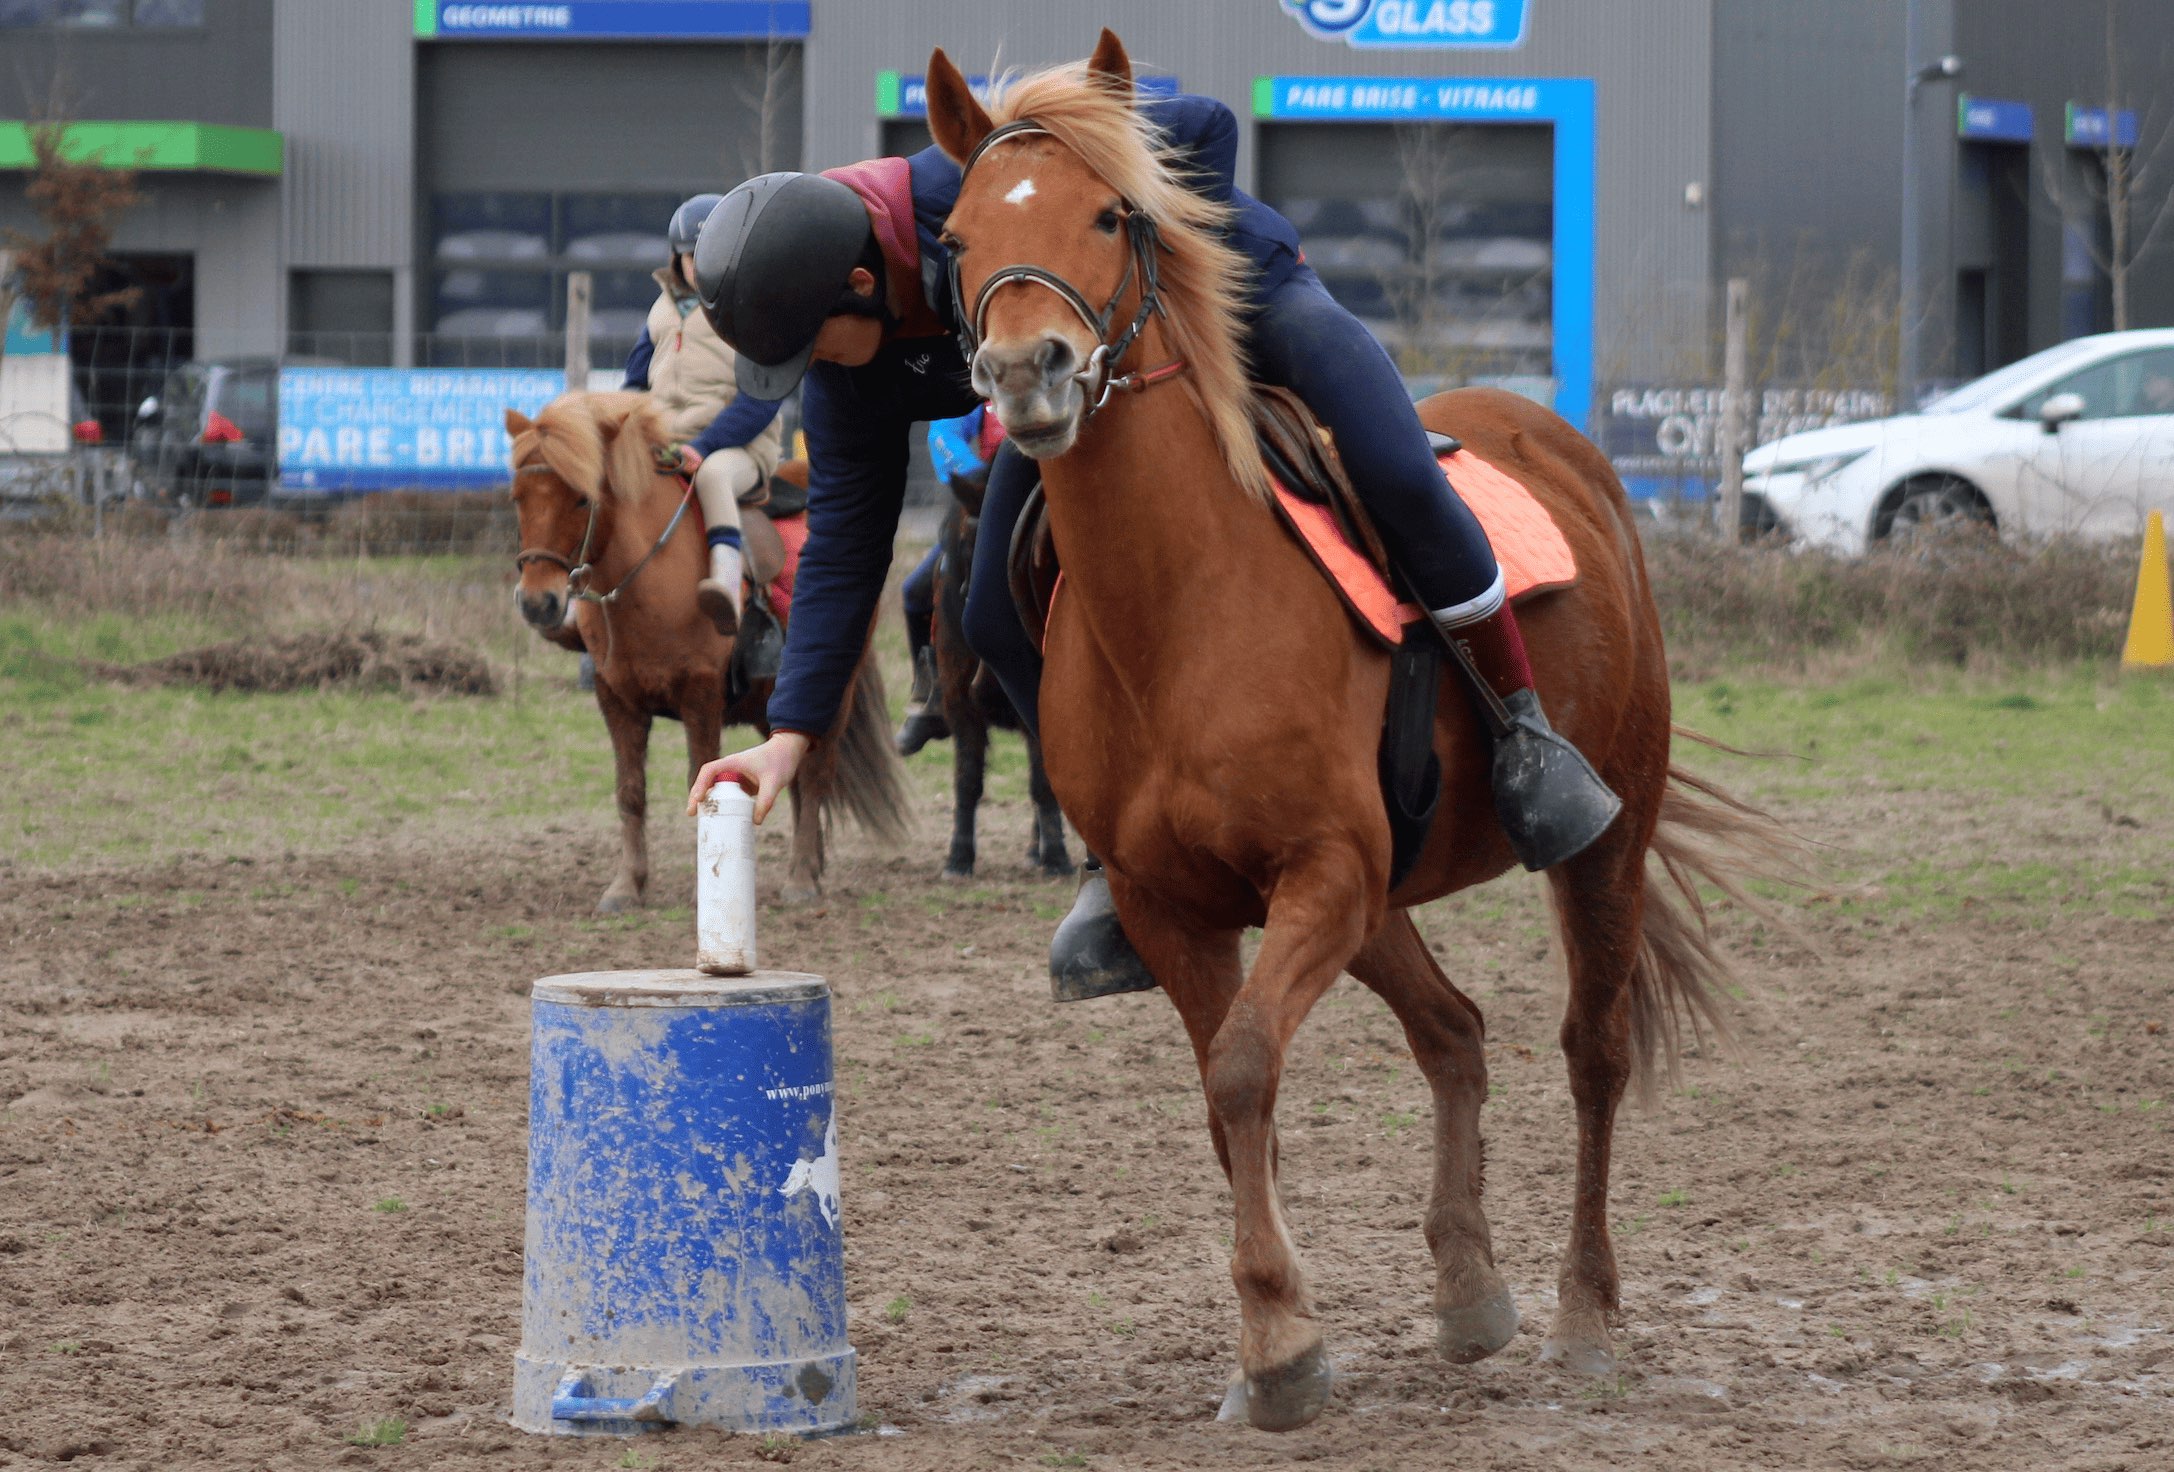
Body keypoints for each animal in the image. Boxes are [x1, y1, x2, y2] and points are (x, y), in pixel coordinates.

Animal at [505, 391, 908, 912]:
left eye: (581, 498)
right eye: (518, 497)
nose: (539, 602)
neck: (650, 578)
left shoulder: (700, 697)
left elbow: (700, 782)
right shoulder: (616, 700)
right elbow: (630, 792)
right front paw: (626, 885)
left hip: (835, 692)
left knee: (817, 775)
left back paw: (801, 878)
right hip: (768, 702)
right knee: (794, 776)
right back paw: (811, 867)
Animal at [927, 467, 1073, 880]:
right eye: (965, 544)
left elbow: (1043, 784)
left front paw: (1056, 856)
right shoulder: (959, 705)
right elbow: (967, 780)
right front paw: (958, 856)